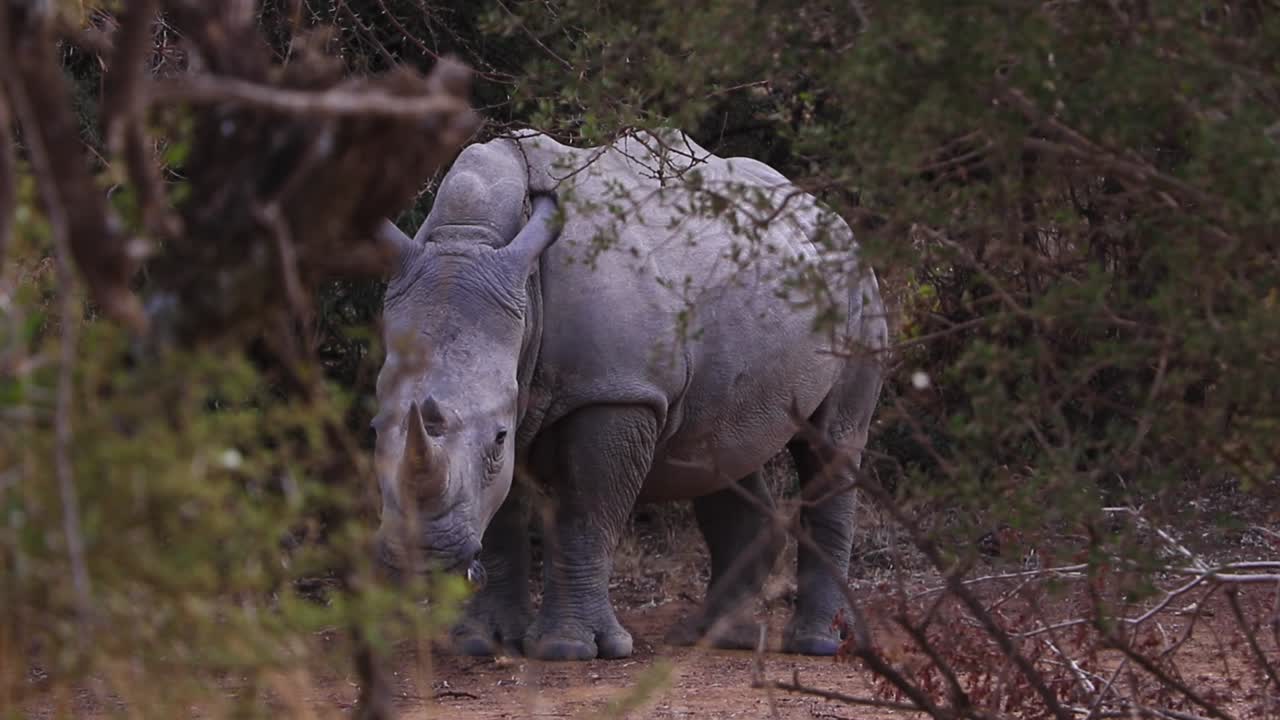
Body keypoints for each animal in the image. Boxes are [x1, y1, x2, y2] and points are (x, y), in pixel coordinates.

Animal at [370, 128, 888, 661]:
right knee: (719, 449)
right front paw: (481, 641)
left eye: (498, 436)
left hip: (859, 291)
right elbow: (499, 518)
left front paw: (568, 649)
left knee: (830, 441)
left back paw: (814, 644)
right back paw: (710, 637)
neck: (471, 242)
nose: (423, 555)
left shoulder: (616, 391)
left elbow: (585, 512)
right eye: (374, 429)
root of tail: (832, 217)